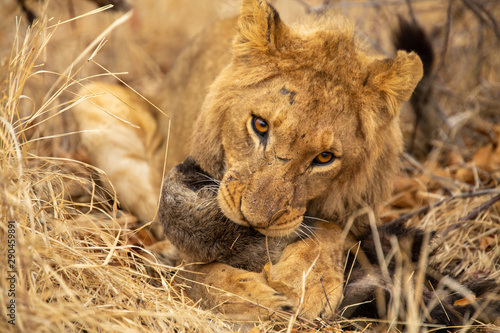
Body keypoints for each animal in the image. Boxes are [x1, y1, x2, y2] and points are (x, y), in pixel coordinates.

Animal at [75, 0, 426, 322]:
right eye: (260, 124)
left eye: (325, 157)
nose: (253, 221)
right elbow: (202, 276)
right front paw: (257, 301)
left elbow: (330, 233)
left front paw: (308, 282)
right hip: (93, 97)